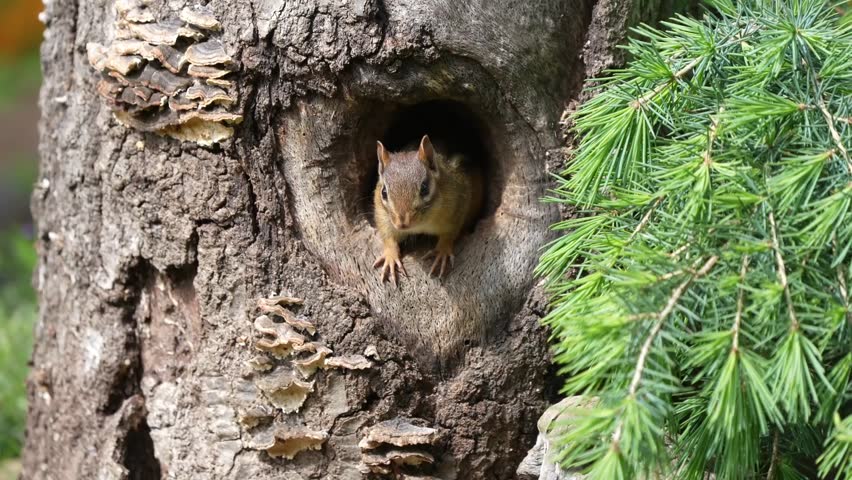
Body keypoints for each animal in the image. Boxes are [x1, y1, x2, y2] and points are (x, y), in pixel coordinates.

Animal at [373, 135, 483, 285]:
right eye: (384, 192)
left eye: (424, 188)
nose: (402, 224)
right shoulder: (382, 214)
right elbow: (388, 235)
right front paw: (390, 257)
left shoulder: (458, 203)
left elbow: (450, 233)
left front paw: (442, 251)